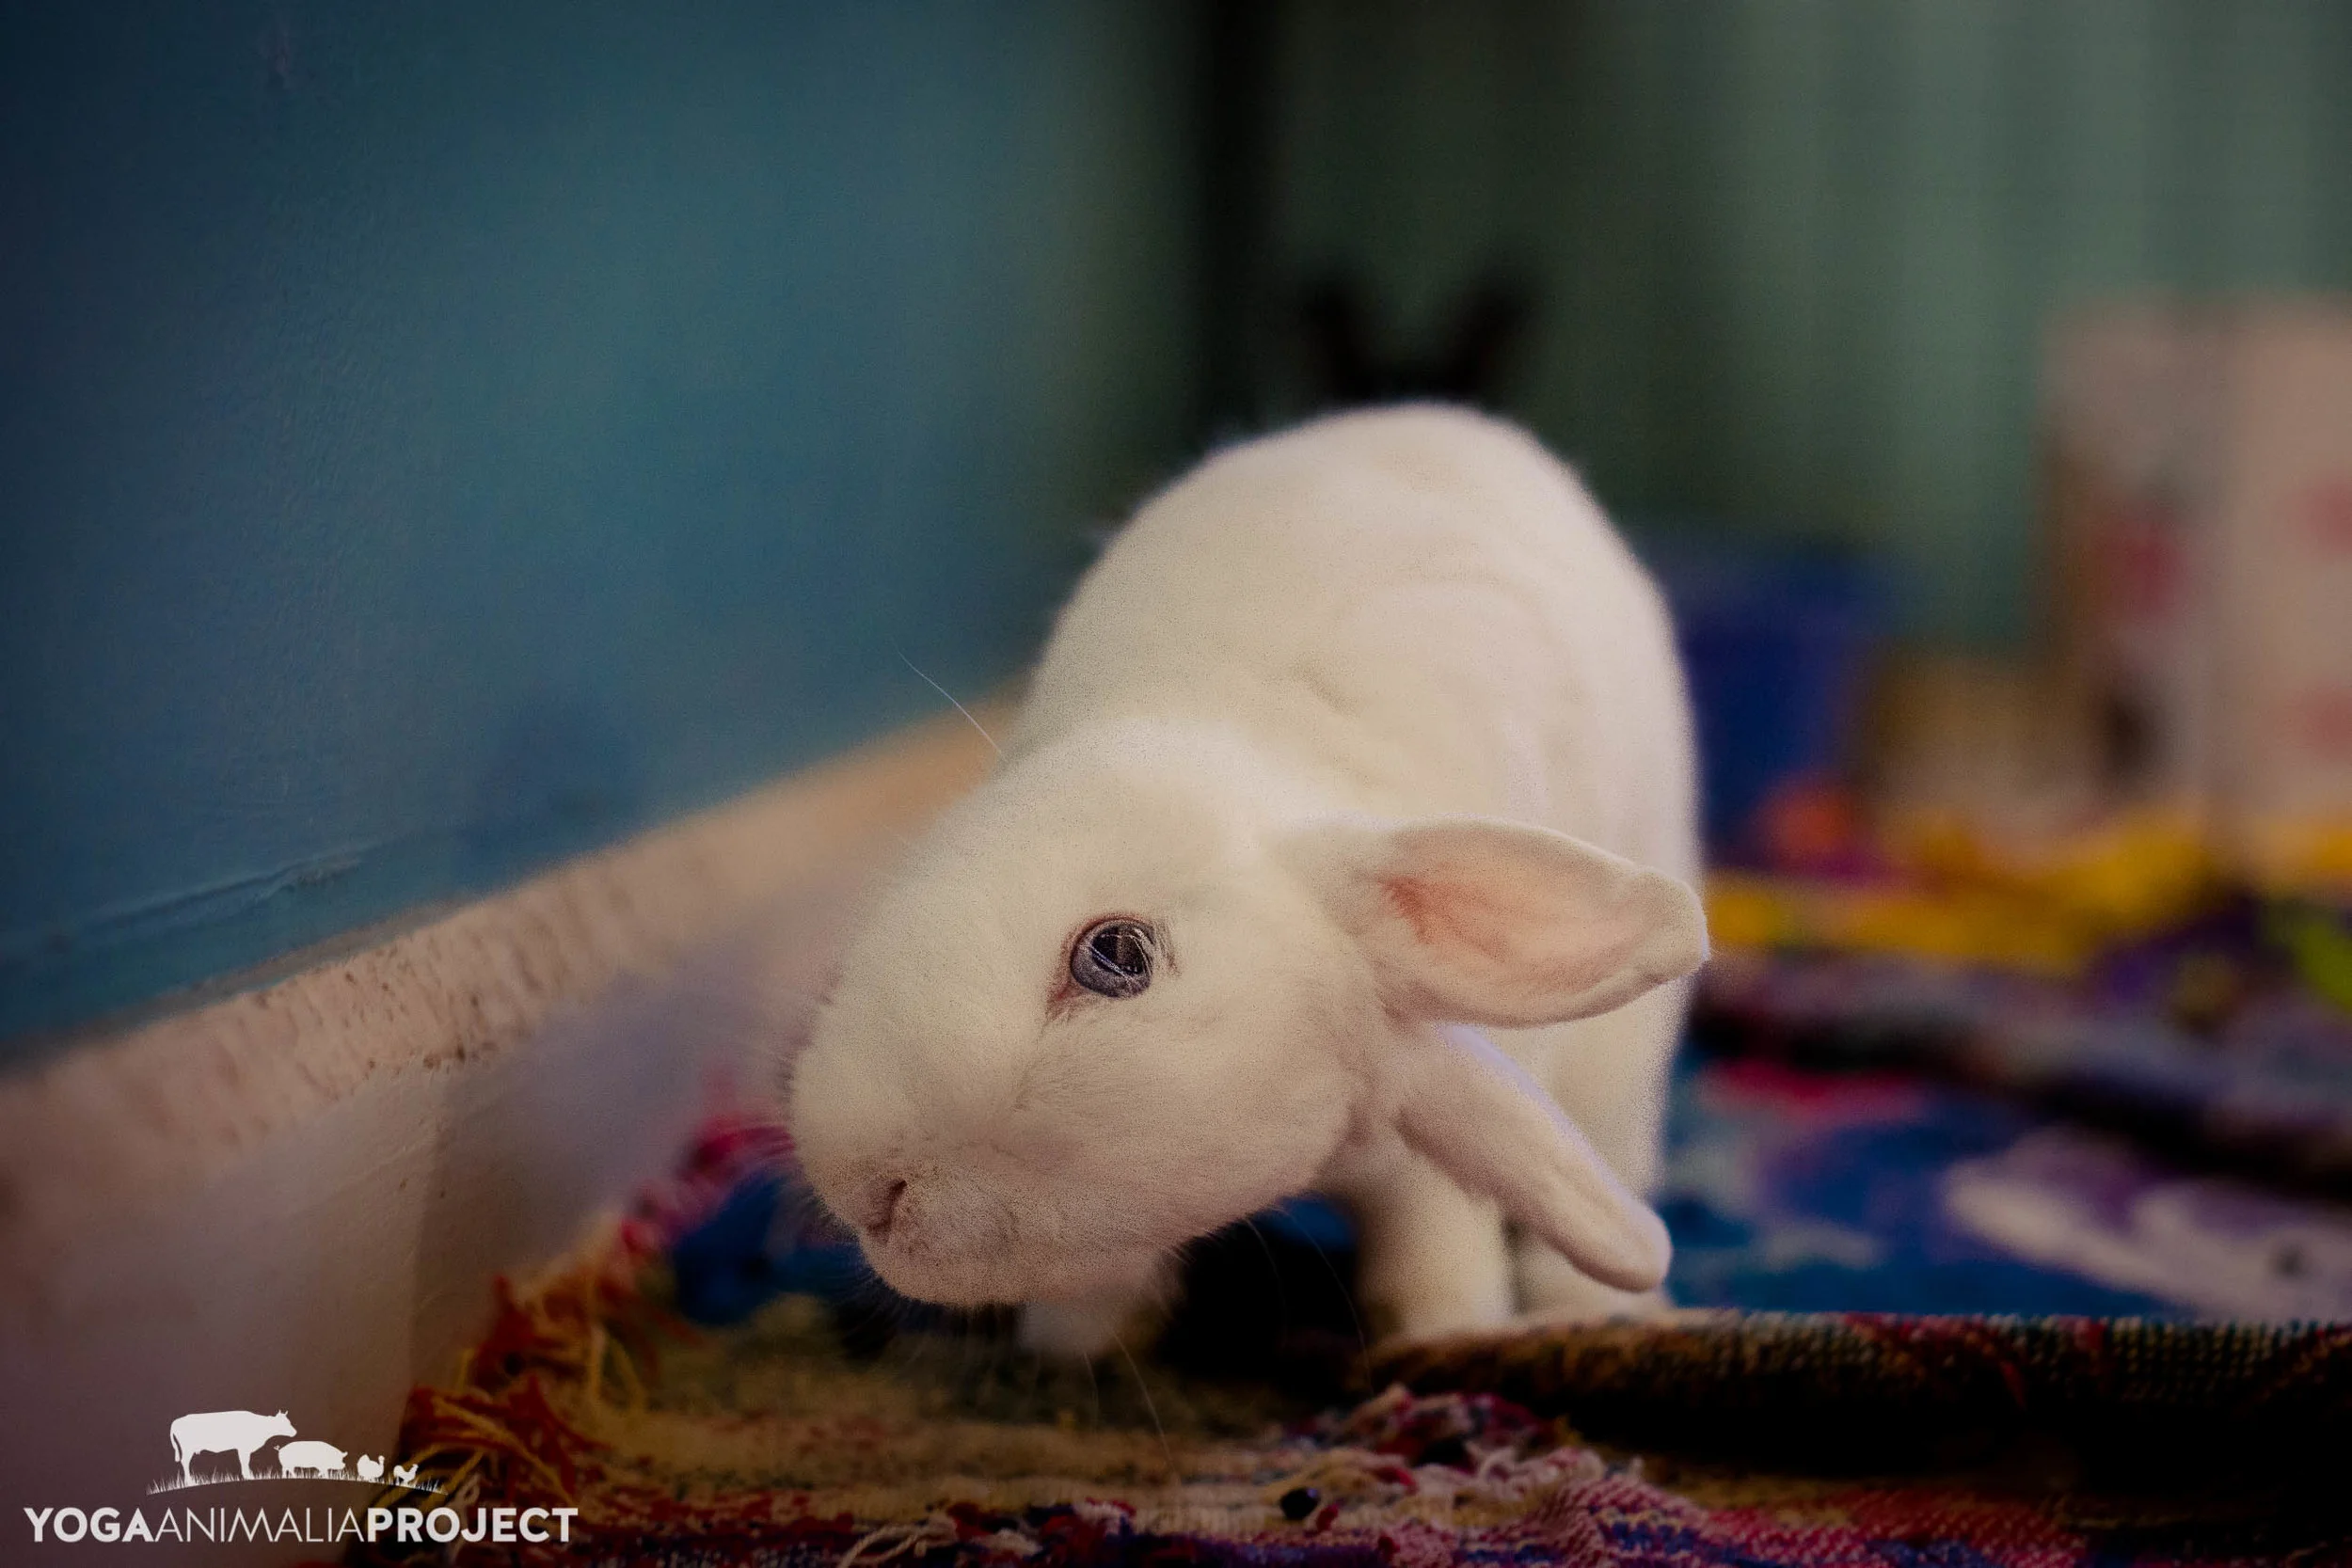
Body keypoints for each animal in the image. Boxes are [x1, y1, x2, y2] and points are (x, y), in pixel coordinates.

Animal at [785, 405, 1706, 1355]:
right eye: (1116, 954)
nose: (883, 1198)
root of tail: (1455, 422)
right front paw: (1070, 1343)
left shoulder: (1435, 1121)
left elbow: (1438, 1239)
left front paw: (1440, 1337)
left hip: (1617, 1077)